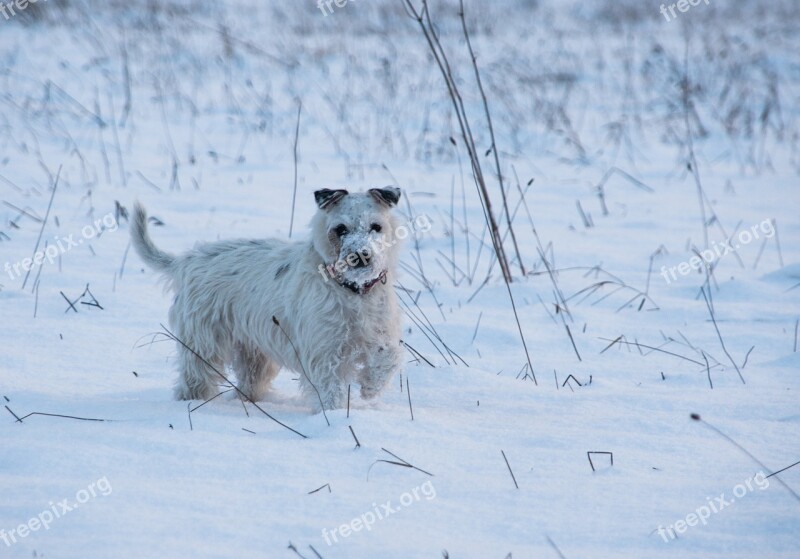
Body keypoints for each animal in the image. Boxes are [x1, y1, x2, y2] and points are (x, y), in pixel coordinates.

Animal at [134, 188, 406, 412]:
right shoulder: (325, 351)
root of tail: (186, 261)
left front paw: (370, 387)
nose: (361, 255)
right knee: (194, 380)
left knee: (250, 382)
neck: (354, 291)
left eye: (376, 226)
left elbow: (389, 358)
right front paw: (334, 414)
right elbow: (331, 387)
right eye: (340, 229)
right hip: (203, 344)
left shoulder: (380, 334)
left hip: (254, 353)